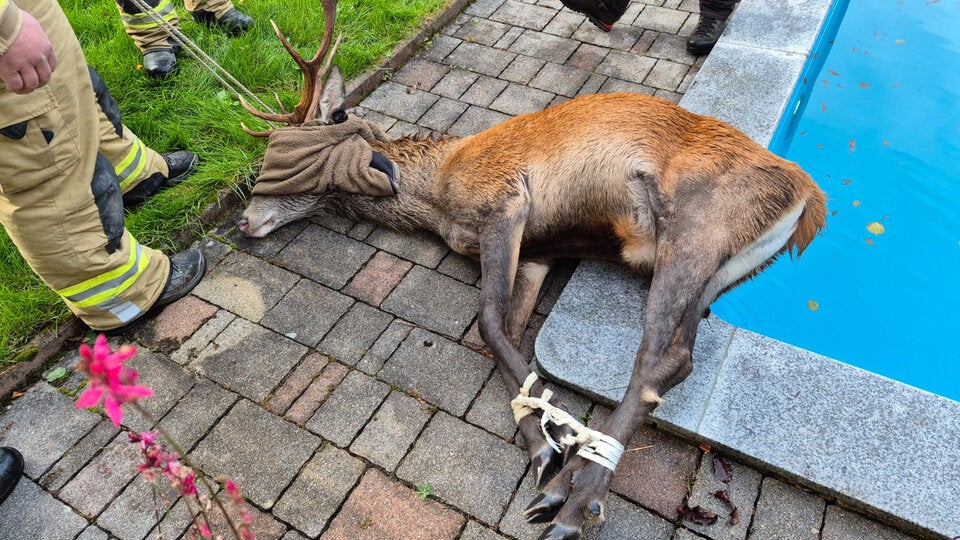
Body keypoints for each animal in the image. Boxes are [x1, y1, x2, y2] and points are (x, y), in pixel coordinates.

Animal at [236, 1, 827, 538]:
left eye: (286, 150)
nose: (244, 220)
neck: (436, 197)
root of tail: (809, 201)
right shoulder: (538, 253)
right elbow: (508, 333)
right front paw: (542, 435)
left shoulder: (505, 200)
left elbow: (486, 322)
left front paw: (549, 445)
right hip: (718, 272)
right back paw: (568, 480)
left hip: (696, 226)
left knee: (665, 356)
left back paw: (573, 503)